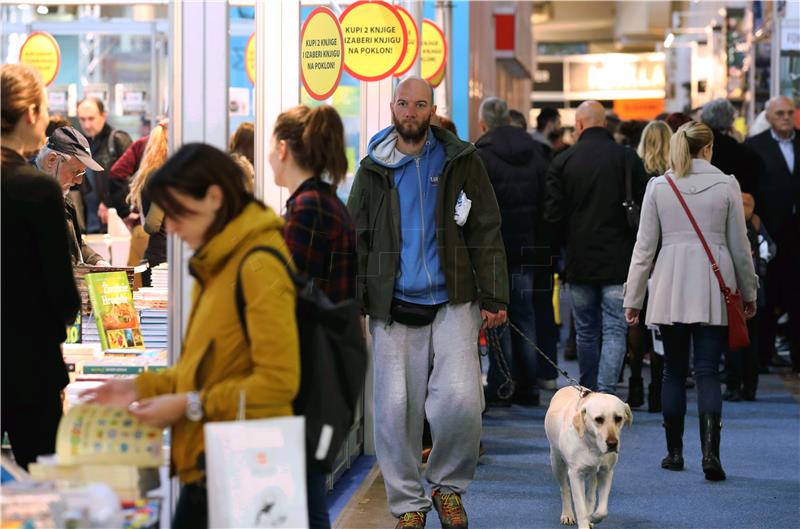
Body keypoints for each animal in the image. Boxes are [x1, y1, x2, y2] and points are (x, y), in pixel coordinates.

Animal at [544, 384, 632, 528]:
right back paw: (567, 514)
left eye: (618, 418)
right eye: (598, 419)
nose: (612, 444)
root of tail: (567, 386)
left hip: (593, 473)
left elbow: (602, 509)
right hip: (556, 461)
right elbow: (580, 506)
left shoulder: (606, 472)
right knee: (564, 488)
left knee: (590, 495)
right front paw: (584, 522)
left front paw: (593, 517)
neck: (593, 446)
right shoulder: (576, 474)